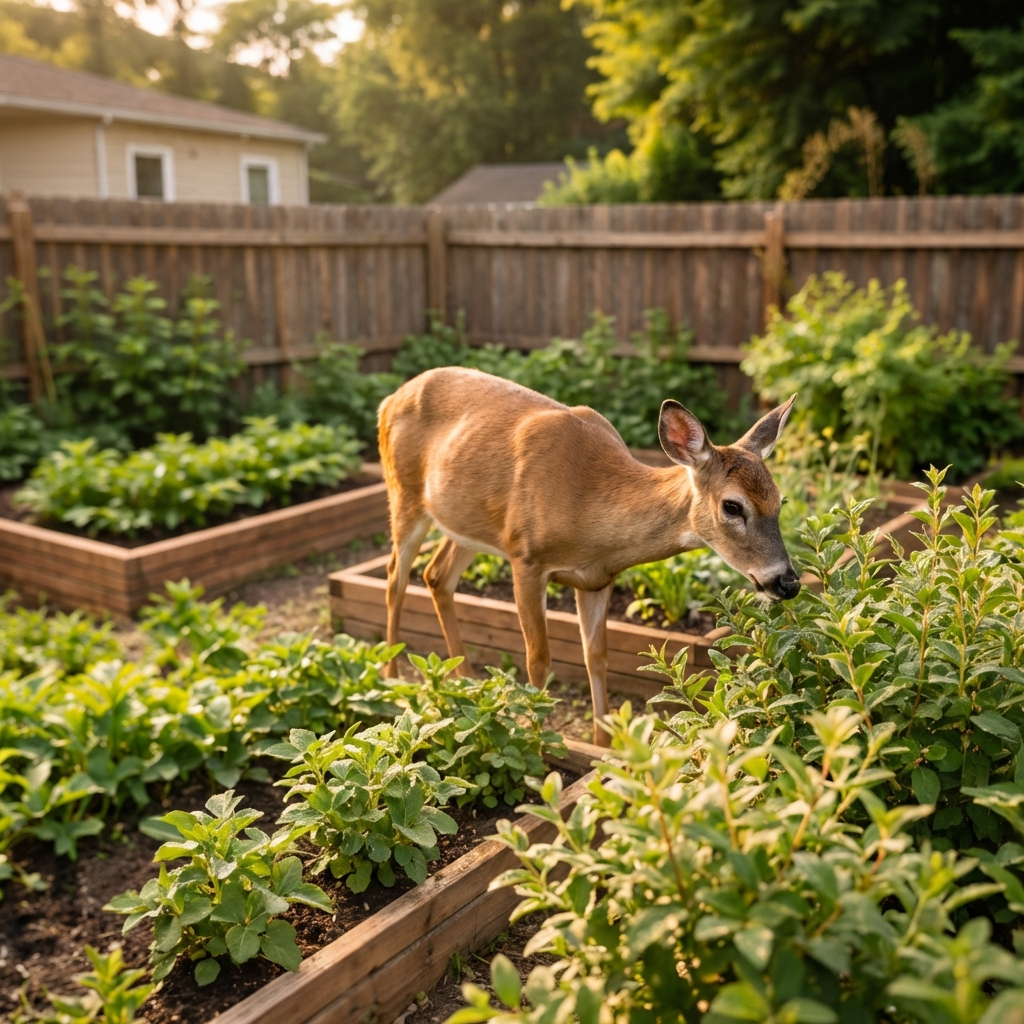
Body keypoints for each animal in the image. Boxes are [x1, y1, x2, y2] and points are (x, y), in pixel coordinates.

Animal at [377, 366, 801, 745]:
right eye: (732, 506)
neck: (587, 508)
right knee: (396, 576)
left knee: (436, 576)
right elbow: (538, 660)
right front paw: (537, 742)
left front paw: (602, 745)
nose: (788, 582)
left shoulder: (597, 580)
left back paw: (463, 681)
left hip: (467, 522)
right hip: (404, 494)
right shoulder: (525, 557)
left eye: (780, 500)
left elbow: (596, 656)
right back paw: (392, 676)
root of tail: (389, 400)